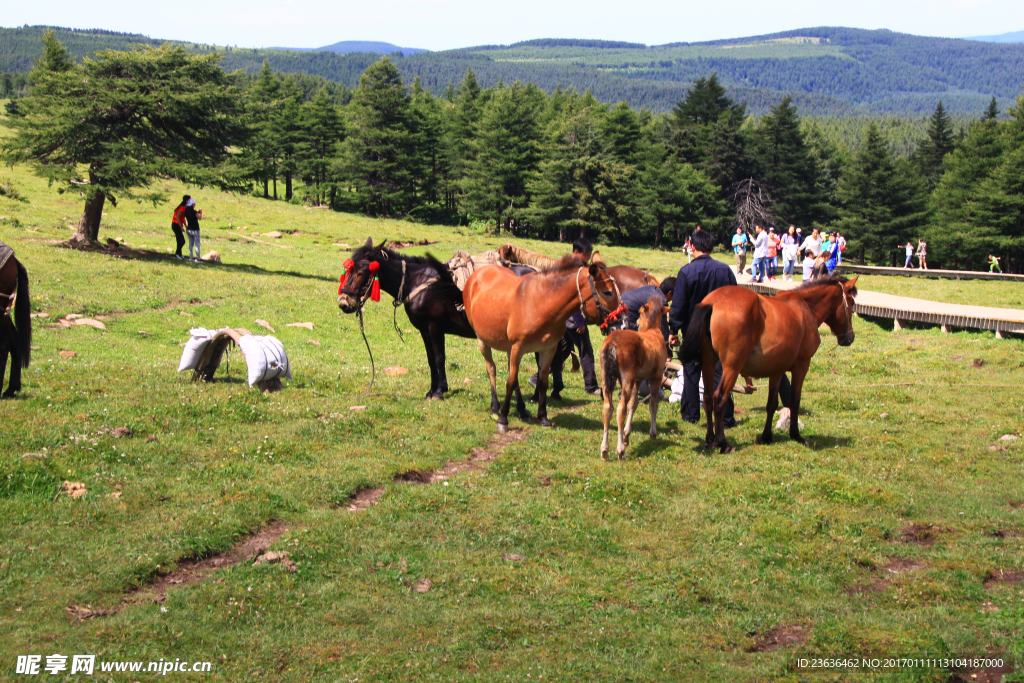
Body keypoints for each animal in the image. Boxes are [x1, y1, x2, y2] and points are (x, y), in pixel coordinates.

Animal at [466, 255, 622, 432]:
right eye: (607, 292)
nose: (621, 321)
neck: (542, 303)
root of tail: (478, 272)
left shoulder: (548, 349)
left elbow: (542, 382)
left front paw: (543, 417)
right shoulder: (518, 347)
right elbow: (510, 382)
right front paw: (503, 419)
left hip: (509, 347)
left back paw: (522, 411)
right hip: (483, 340)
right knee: (491, 369)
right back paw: (495, 409)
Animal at [598, 296, 671, 458]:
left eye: (639, 314)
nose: (636, 322)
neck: (652, 330)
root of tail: (612, 342)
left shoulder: (637, 380)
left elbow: (634, 403)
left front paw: (626, 435)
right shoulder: (656, 377)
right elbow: (653, 403)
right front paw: (653, 433)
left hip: (607, 378)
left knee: (607, 407)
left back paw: (605, 450)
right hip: (627, 378)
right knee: (620, 409)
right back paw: (620, 450)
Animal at [684, 272, 860, 454]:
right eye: (852, 303)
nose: (850, 337)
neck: (805, 308)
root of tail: (713, 302)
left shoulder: (777, 370)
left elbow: (772, 404)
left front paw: (767, 436)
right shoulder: (802, 366)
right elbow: (794, 400)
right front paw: (796, 435)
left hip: (708, 362)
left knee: (707, 398)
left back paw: (710, 439)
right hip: (732, 367)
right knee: (719, 399)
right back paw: (723, 443)